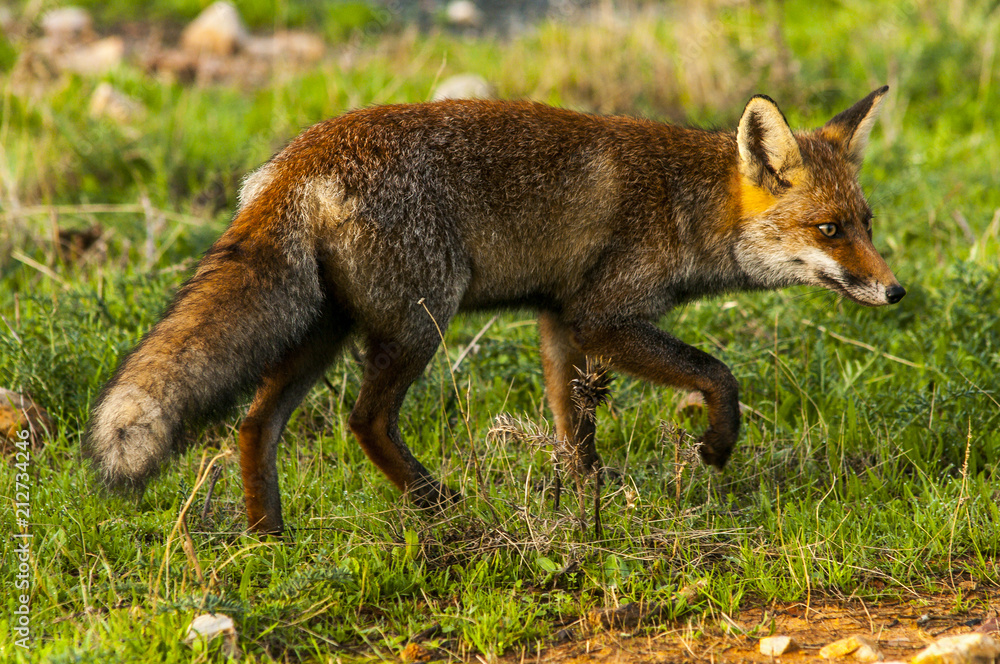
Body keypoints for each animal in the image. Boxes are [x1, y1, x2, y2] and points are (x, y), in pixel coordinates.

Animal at [86, 88, 904, 536]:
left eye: (867, 223)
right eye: (830, 230)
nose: (896, 292)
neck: (681, 201)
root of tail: (298, 159)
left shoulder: (558, 322)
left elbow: (576, 437)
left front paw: (591, 512)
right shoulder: (602, 317)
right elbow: (719, 375)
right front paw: (716, 448)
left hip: (325, 332)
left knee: (256, 426)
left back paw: (270, 540)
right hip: (420, 322)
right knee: (364, 420)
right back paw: (442, 509)